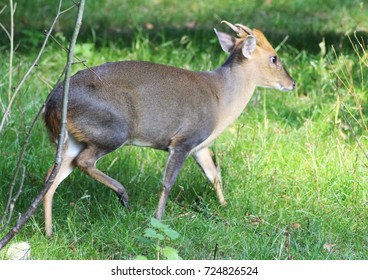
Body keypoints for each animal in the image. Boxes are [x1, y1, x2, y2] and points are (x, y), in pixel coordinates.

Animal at [43, 20, 296, 237]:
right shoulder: (184, 139)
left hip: (74, 139)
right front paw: (158, 220)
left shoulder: (199, 146)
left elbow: (214, 175)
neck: (220, 99)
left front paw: (225, 207)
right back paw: (123, 195)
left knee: (52, 176)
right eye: (274, 58)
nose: (292, 83)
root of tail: (52, 103)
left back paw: (49, 232)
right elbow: (168, 182)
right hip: (112, 129)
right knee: (83, 162)